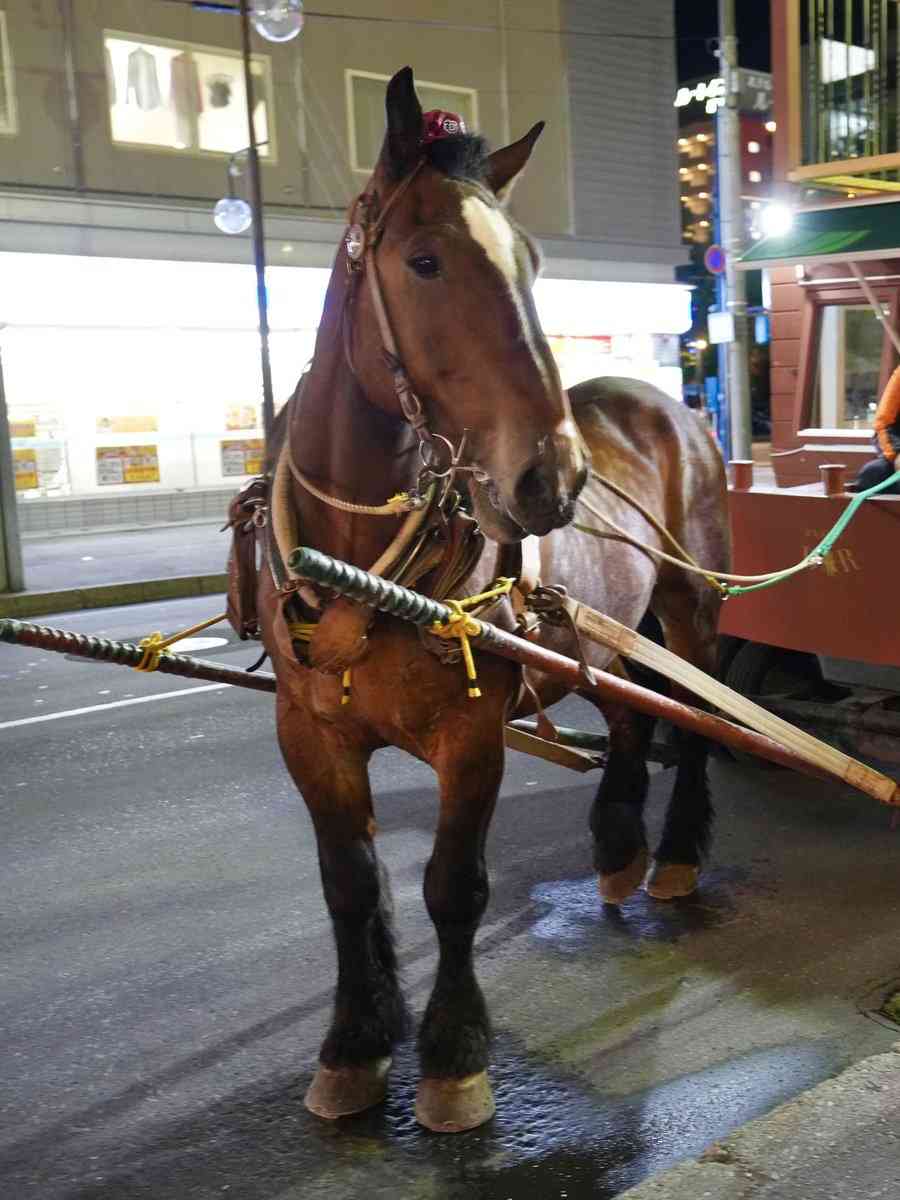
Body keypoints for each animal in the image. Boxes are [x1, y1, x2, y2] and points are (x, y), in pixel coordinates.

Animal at [251, 67, 729, 1134]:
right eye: (424, 261)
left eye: (535, 263)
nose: (556, 476)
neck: (359, 563)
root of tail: (665, 400)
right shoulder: (309, 732)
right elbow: (350, 884)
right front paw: (354, 1044)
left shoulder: (471, 733)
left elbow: (453, 887)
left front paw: (453, 1057)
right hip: (606, 623)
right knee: (629, 715)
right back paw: (619, 842)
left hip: (690, 604)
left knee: (696, 716)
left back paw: (676, 853)